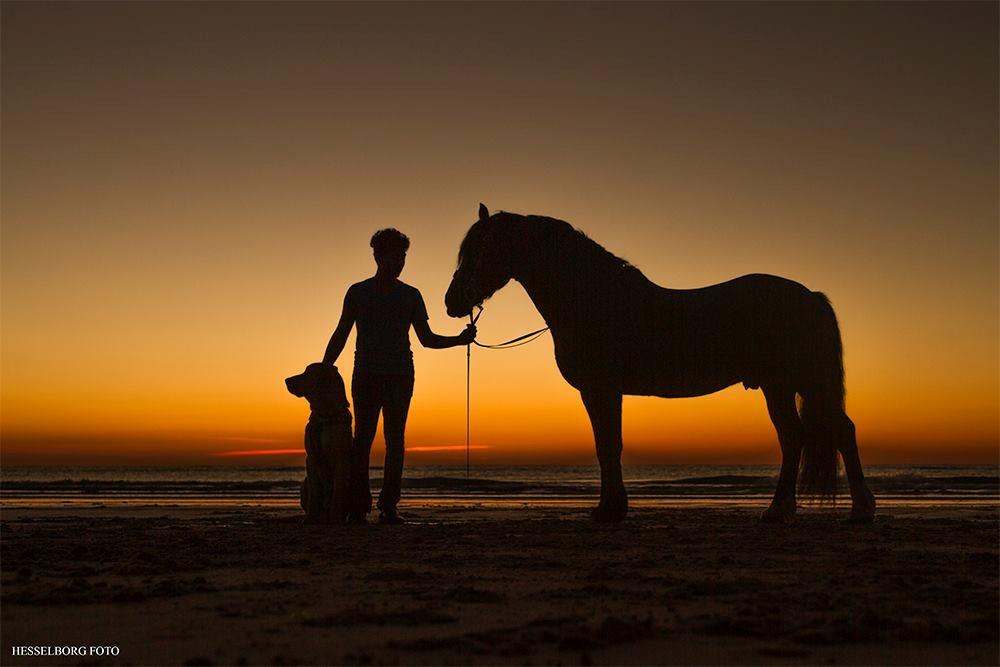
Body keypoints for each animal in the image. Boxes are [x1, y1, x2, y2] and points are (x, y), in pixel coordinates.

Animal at [284, 362, 354, 524]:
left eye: (308, 373)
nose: (286, 380)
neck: (325, 414)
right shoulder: (311, 458)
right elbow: (314, 493)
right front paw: (310, 518)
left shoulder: (340, 459)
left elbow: (337, 491)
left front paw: (336, 518)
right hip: (304, 483)